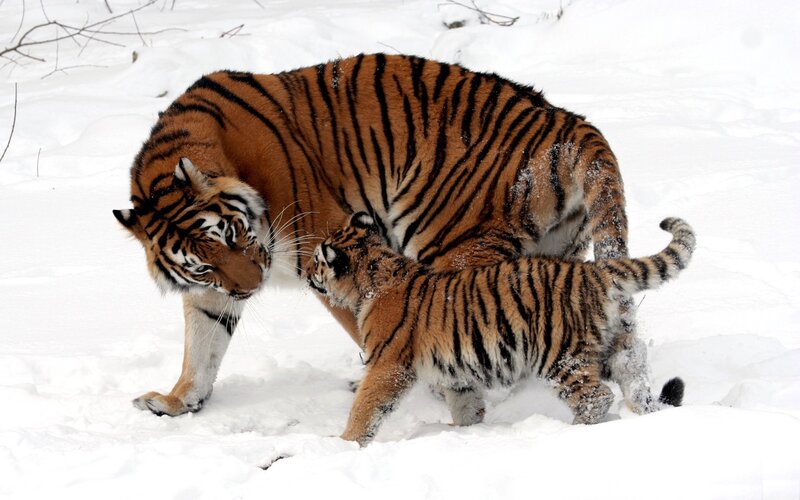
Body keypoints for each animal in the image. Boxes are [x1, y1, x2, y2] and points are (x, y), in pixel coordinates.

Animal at [114, 53, 648, 421]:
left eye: (231, 234)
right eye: (203, 264)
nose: (251, 286)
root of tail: (569, 122)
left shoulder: (324, 248)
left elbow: (368, 324)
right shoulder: (213, 290)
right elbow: (202, 344)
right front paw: (177, 401)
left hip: (453, 244)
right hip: (557, 255)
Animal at [307, 212, 694, 446]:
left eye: (316, 260)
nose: (308, 273)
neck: (374, 275)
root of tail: (594, 271)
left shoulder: (388, 365)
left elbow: (366, 407)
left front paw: (344, 443)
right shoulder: (456, 372)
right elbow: (465, 405)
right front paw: (462, 430)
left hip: (560, 356)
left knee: (596, 397)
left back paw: (570, 433)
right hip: (614, 347)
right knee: (635, 379)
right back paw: (645, 416)